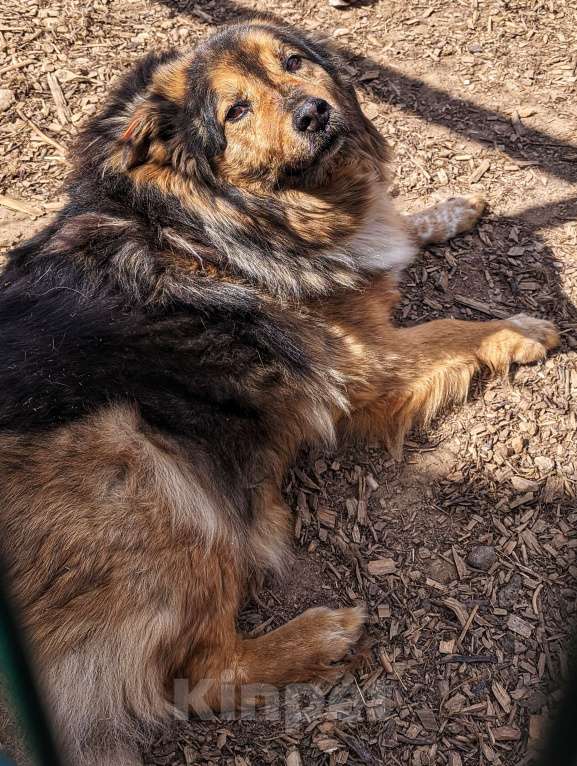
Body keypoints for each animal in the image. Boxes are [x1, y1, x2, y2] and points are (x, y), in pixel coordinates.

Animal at [0, 18, 560, 766]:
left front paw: (446, 210)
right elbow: (450, 328)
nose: (314, 113)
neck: (218, 217)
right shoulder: (370, 363)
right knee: (201, 678)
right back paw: (318, 635)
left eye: (294, 63)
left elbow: (392, 234)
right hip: (149, 473)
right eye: (235, 111)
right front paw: (521, 329)